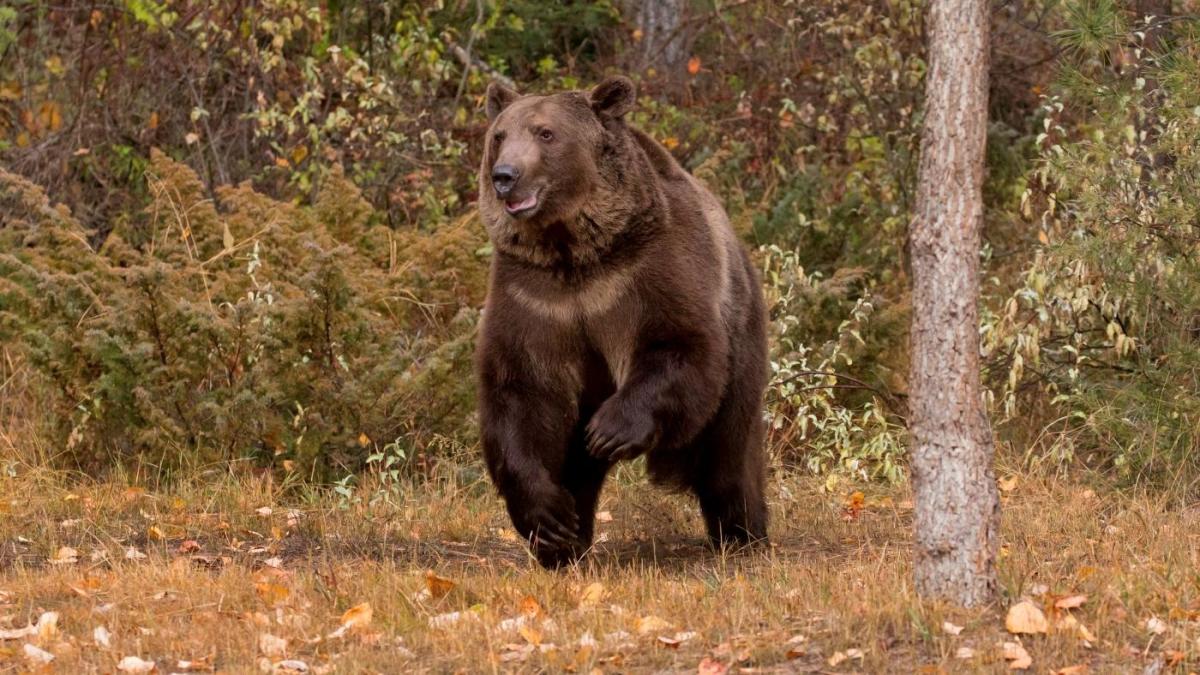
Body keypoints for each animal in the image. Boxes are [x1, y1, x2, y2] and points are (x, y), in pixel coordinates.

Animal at [475, 74, 768, 566]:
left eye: (545, 133)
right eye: (499, 136)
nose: (505, 177)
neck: (575, 252)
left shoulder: (649, 272)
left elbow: (678, 345)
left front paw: (610, 431)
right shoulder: (534, 296)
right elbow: (521, 390)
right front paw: (547, 518)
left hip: (742, 335)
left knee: (730, 454)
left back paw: (743, 533)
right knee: (576, 466)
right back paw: (565, 542)